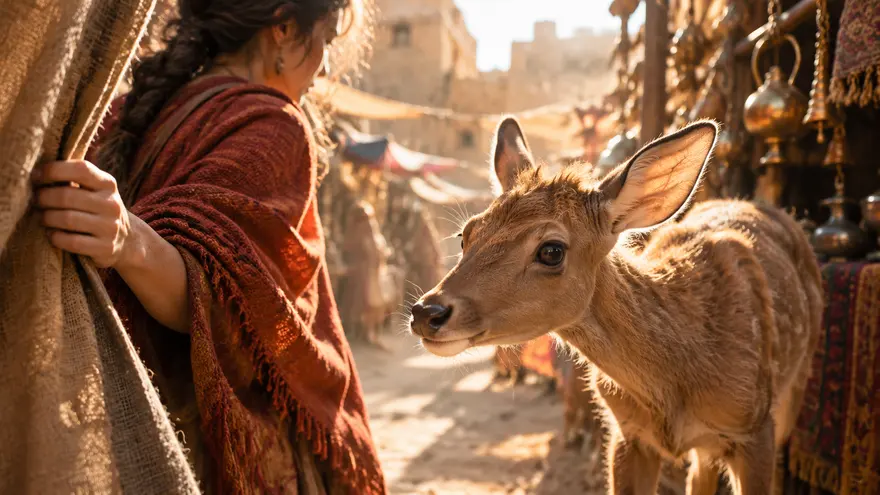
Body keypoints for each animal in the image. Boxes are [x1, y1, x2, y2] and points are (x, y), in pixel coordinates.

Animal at [409, 117, 823, 494]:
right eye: (466, 234)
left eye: (551, 250)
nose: (427, 313)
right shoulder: (627, 432)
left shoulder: (754, 428)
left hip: (793, 391)